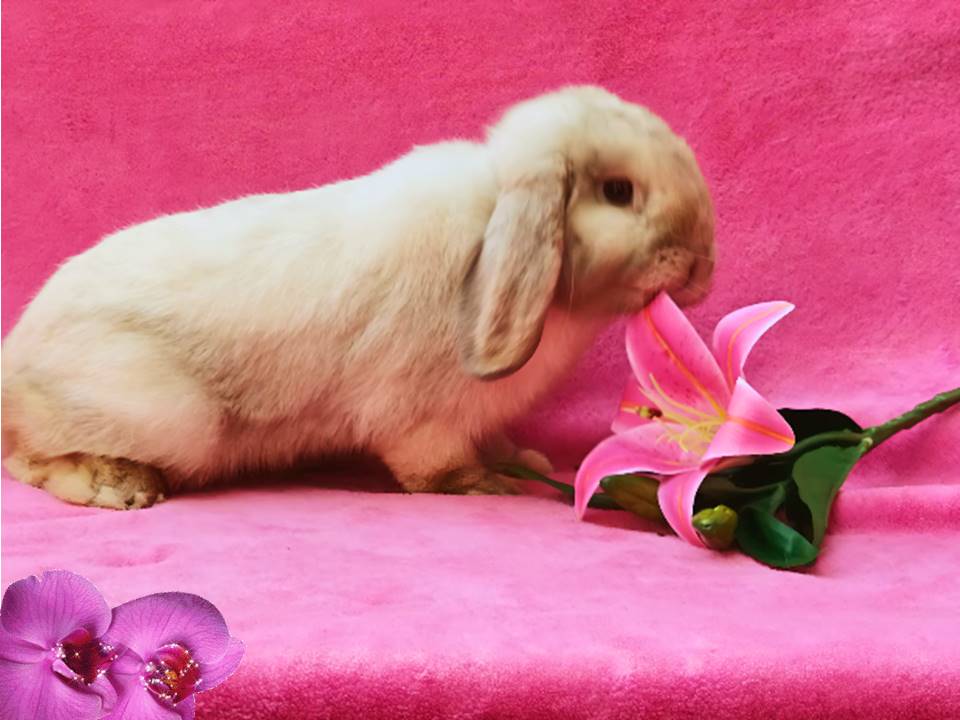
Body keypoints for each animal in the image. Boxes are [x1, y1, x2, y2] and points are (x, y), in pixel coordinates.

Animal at [1, 85, 715, 509]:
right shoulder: (420, 416)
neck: (492, 216)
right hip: (174, 418)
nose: (703, 268)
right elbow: (435, 468)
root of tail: (14, 362)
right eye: (618, 191)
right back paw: (118, 486)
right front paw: (493, 484)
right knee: (25, 457)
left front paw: (522, 460)